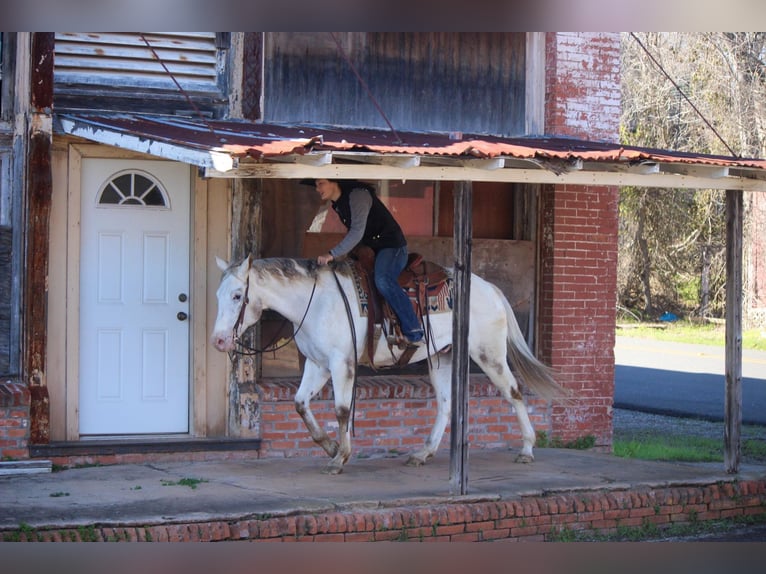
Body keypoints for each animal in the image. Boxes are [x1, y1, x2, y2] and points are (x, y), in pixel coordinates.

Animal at [213, 256, 568, 476]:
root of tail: (490, 289)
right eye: (218, 294)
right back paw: (423, 454)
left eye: (237, 295)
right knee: (446, 404)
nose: (219, 340)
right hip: (443, 357)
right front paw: (330, 447)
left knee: (514, 392)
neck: (314, 302)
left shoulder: (341, 363)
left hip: (488, 353)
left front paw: (340, 458)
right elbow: (301, 404)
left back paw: (527, 449)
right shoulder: (317, 364)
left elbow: (342, 410)